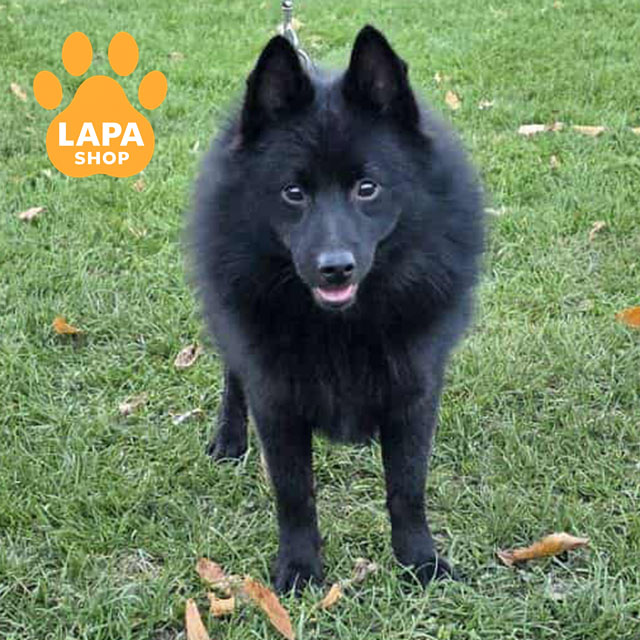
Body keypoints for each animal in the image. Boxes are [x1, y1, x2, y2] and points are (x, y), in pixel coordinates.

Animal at [190, 25, 484, 593]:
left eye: (367, 187)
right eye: (293, 192)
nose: (335, 268)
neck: (342, 327)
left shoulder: (415, 392)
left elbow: (407, 488)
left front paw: (419, 561)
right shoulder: (276, 398)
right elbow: (295, 495)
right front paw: (300, 568)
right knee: (233, 377)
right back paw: (229, 439)